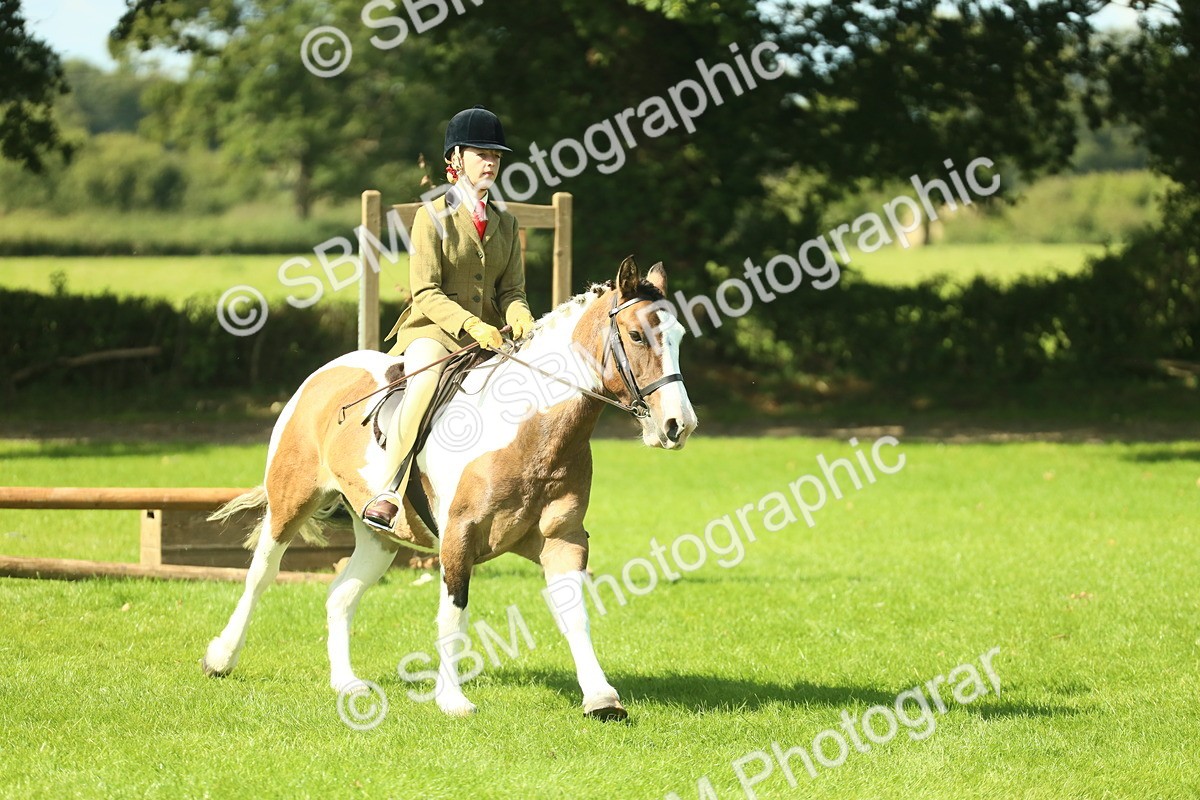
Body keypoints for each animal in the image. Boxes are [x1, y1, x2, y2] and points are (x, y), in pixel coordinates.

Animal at [199, 256, 699, 719]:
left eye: (677, 338)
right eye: (636, 336)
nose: (679, 426)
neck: (529, 430)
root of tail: (325, 373)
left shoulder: (562, 538)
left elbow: (573, 612)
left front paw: (600, 698)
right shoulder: (459, 536)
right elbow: (453, 615)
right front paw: (452, 699)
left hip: (381, 536)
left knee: (340, 594)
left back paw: (346, 682)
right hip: (291, 502)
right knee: (261, 574)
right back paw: (221, 657)